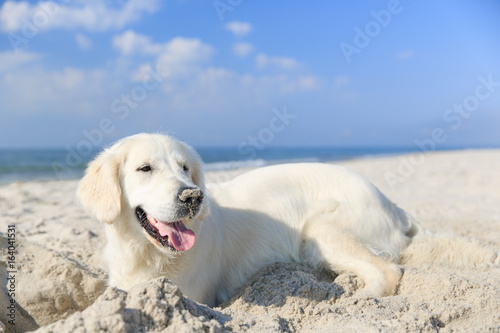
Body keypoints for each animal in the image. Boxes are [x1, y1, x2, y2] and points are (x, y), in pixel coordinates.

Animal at [76, 134, 498, 304]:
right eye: (144, 168)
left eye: (184, 168)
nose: (193, 196)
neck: (145, 254)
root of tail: (391, 202)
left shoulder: (192, 295)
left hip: (320, 232)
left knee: (389, 272)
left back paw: (353, 300)